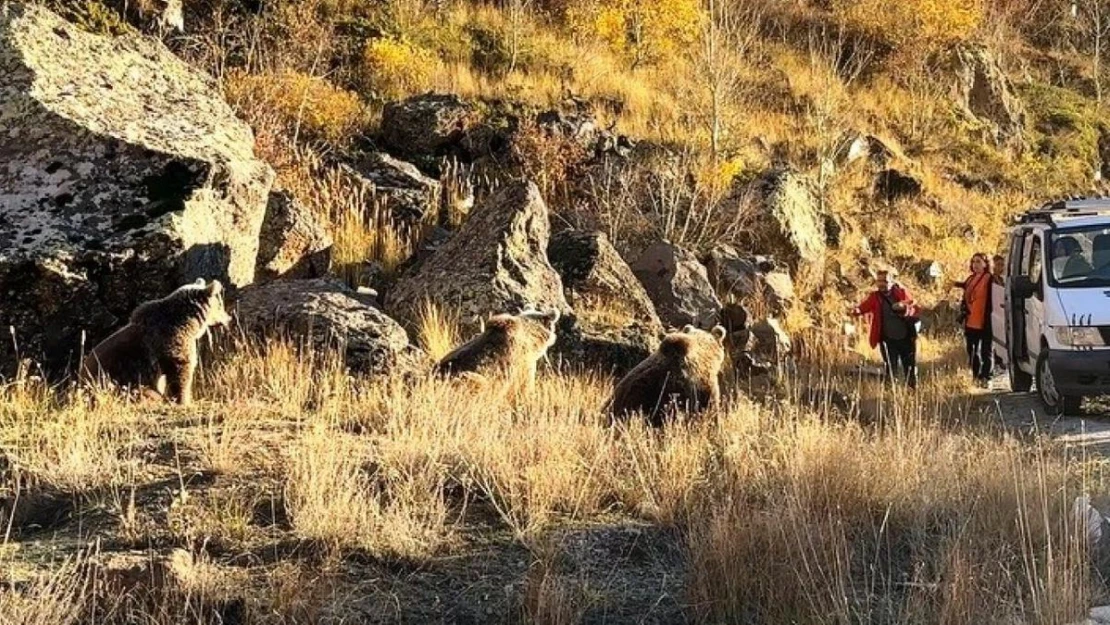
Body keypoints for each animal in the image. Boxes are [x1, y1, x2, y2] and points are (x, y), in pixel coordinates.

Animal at [81, 278, 231, 406]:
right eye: (220, 304)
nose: (228, 318)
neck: (188, 323)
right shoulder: (170, 341)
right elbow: (180, 371)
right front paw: (183, 400)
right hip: (116, 381)